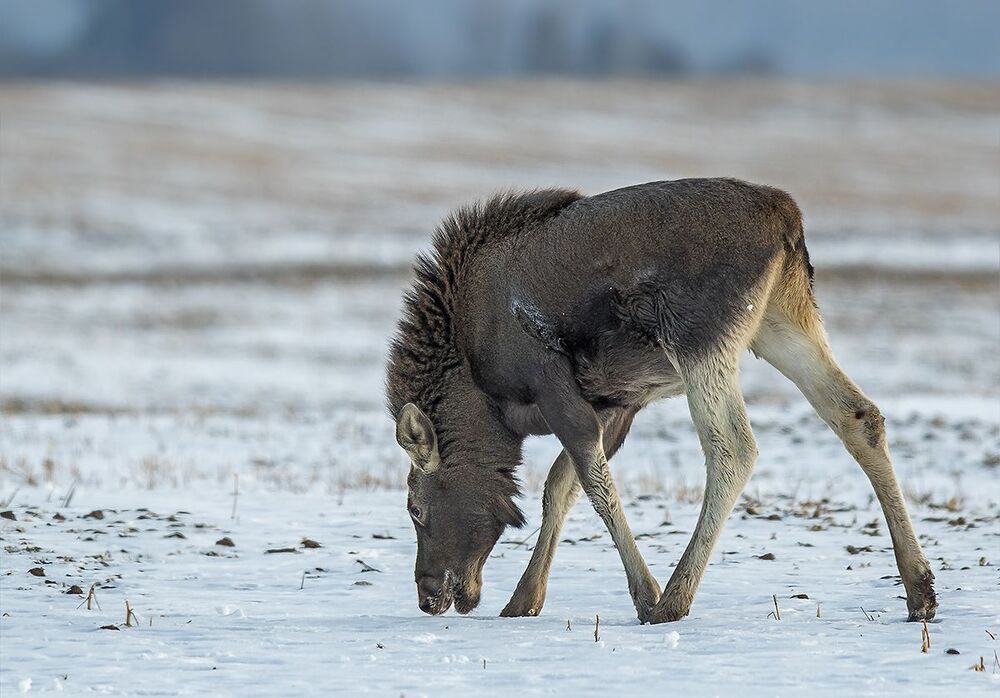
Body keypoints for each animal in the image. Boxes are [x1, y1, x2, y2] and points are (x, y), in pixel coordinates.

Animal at [385, 178, 937, 624]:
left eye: (415, 507)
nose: (428, 595)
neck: (481, 390)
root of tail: (788, 217)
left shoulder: (552, 381)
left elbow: (592, 484)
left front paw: (644, 593)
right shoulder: (617, 401)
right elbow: (559, 487)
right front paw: (524, 599)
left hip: (699, 337)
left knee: (733, 449)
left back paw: (674, 597)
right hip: (781, 321)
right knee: (858, 415)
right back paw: (921, 590)